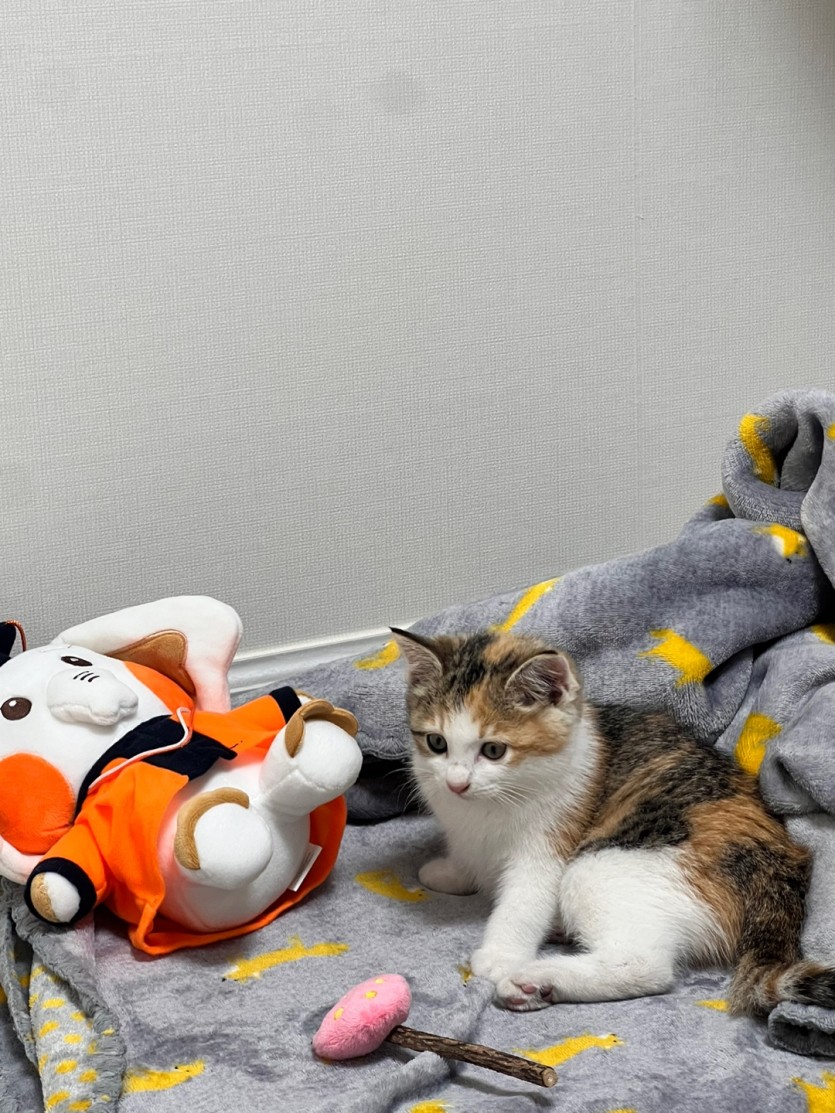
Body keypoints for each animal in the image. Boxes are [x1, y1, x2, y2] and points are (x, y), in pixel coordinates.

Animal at [391, 626, 835, 1016]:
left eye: (494, 750)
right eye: (436, 743)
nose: (457, 783)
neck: (486, 808)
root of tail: (778, 869)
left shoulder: (550, 841)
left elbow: (524, 901)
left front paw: (500, 955)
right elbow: (467, 854)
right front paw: (452, 873)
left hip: (606, 864)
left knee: (644, 965)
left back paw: (535, 979)